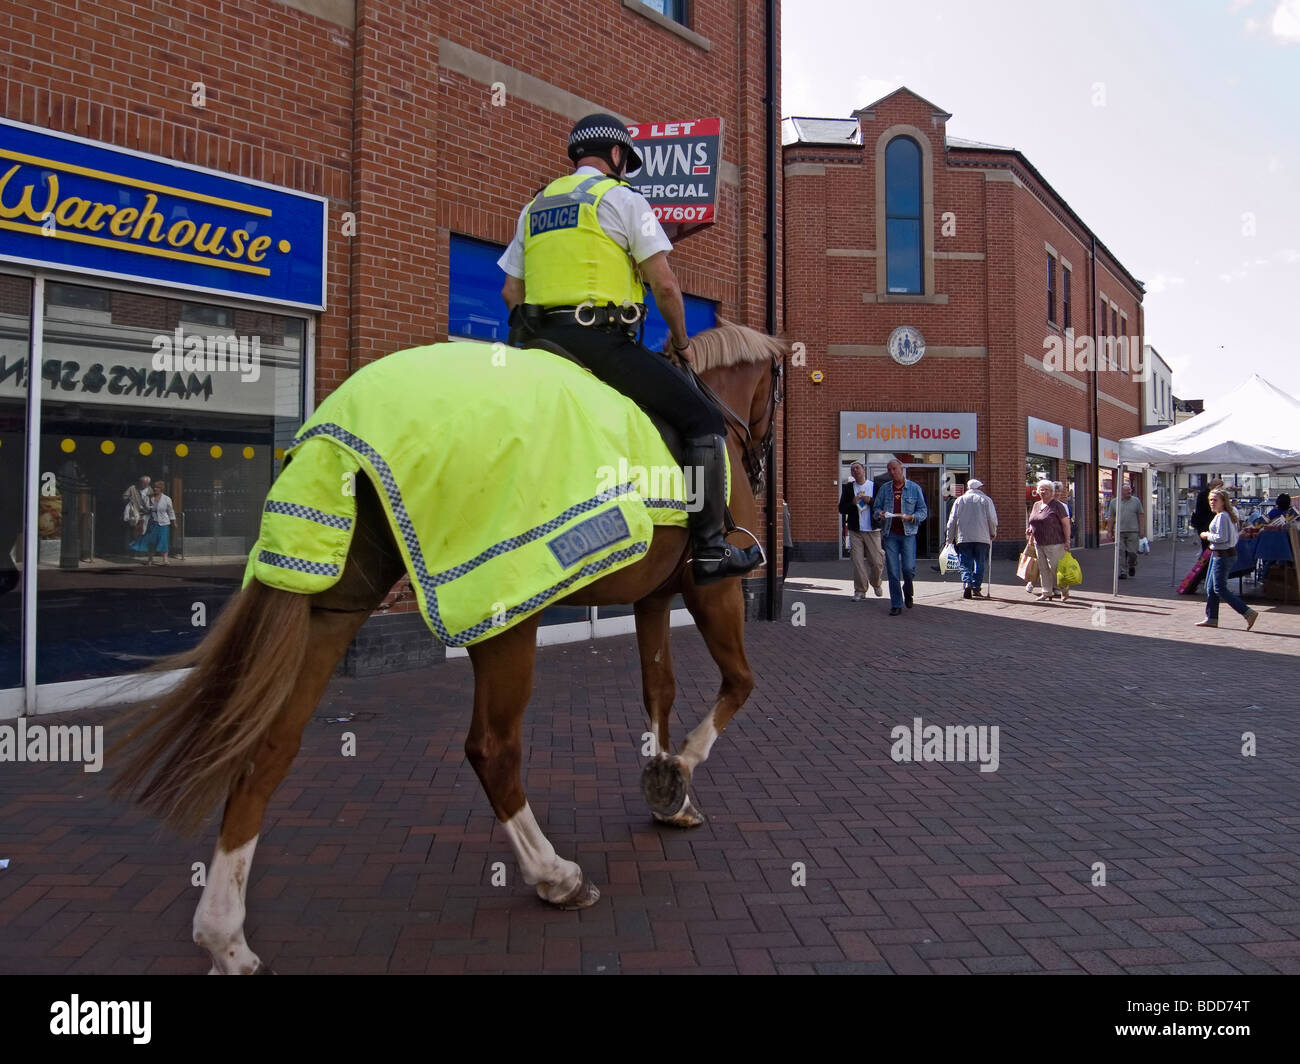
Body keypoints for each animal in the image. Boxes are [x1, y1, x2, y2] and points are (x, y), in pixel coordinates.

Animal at [109, 321, 780, 967]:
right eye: (776, 389)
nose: (761, 458)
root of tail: (346, 422)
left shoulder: (654, 597)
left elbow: (658, 688)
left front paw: (669, 792)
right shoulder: (714, 590)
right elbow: (740, 682)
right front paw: (681, 767)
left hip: (328, 603)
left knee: (267, 747)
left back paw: (226, 941)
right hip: (502, 607)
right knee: (492, 749)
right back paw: (556, 876)